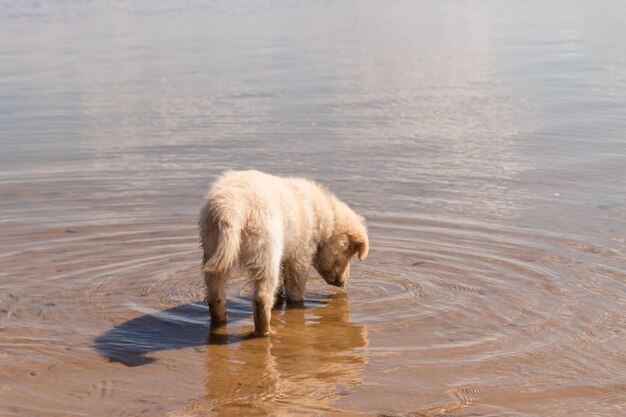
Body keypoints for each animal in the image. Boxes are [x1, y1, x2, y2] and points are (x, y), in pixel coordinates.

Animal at [199, 169, 366, 334]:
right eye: (349, 253)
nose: (342, 283)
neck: (324, 219)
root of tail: (230, 206)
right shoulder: (301, 254)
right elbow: (295, 288)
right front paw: (297, 305)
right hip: (266, 249)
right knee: (261, 297)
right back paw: (266, 331)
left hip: (212, 245)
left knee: (215, 295)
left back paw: (220, 322)